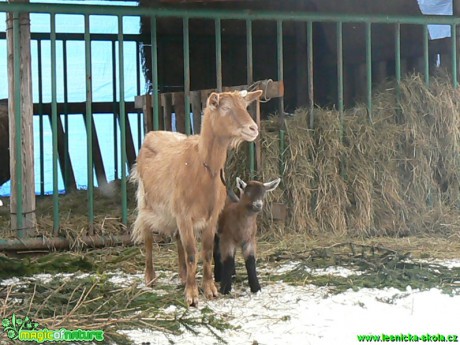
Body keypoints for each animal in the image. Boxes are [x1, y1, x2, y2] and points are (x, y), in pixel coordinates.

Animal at [131, 88, 260, 304]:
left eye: (245, 106)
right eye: (225, 108)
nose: (253, 128)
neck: (202, 167)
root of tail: (153, 133)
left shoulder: (211, 217)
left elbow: (206, 252)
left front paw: (209, 289)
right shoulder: (184, 214)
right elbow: (192, 253)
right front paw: (192, 295)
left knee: (178, 240)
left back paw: (183, 276)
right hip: (146, 201)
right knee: (148, 236)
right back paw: (150, 277)